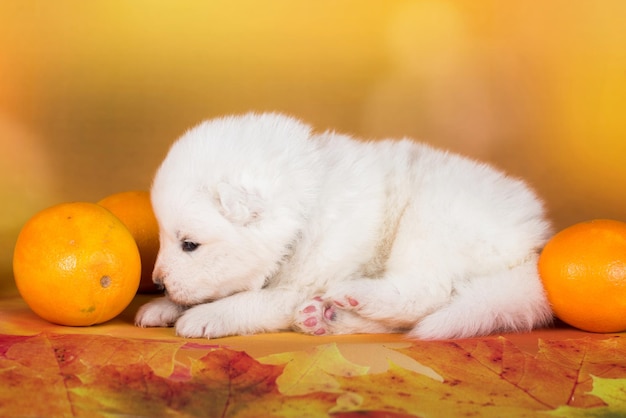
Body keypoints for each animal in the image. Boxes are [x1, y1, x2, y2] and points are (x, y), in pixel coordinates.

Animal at [135, 112, 552, 340]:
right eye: (165, 238)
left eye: (190, 244)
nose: (157, 282)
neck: (305, 214)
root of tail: (532, 246)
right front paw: (161, 307)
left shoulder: (302, 283)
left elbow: (250, 300)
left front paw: (204, 317)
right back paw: (327, 319)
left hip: (434, 219)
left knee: (427, 293)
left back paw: (354, 297)